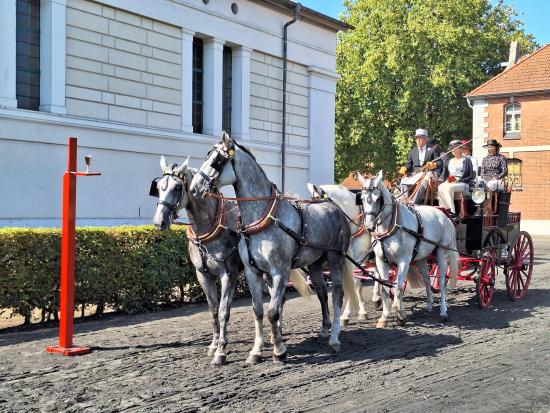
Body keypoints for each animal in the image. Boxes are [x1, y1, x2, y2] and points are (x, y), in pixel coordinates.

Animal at [190, 132, 360, 360]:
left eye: (217, 160)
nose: (194, 188)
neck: (261, 219)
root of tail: (334, 207)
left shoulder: (279, 271)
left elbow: (273, 311)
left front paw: (279, 350)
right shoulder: (253, 272)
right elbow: (258, 310)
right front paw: (255, 350)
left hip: (335, 258)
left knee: (337, 295)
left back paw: (334, 337)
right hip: (315, 264)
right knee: (323, 293)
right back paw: (324, 331)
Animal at [358, 171, 462, 326]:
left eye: (378, 199)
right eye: (362, 198)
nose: (369, 227)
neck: (391, 227)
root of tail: (444, 214)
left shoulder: (404, 261)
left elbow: (398, 287)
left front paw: (401, 315)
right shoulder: (381, 261)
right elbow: (385, 289)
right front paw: (384, 317)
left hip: (441, 253)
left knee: (442, 282)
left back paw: (443, 311)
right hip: (422, 257)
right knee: (426, 279)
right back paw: (429, 304)